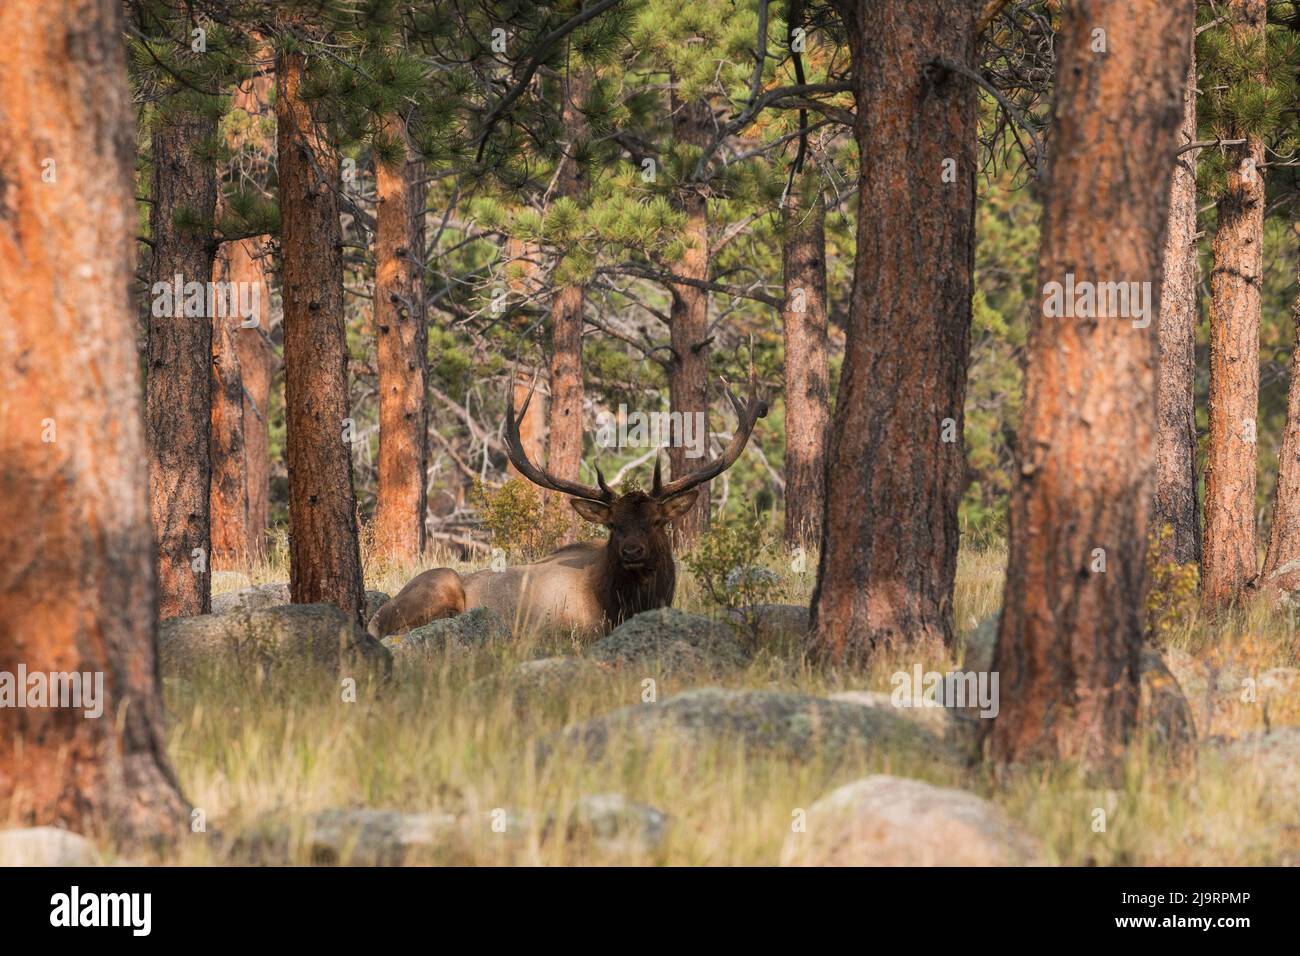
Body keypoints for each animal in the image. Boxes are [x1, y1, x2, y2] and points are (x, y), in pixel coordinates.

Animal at [371, 369, 764, 639]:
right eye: (613, 524)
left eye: (657, 521)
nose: (631, 551)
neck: (623, 603)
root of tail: (377, 615)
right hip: (442, 582)